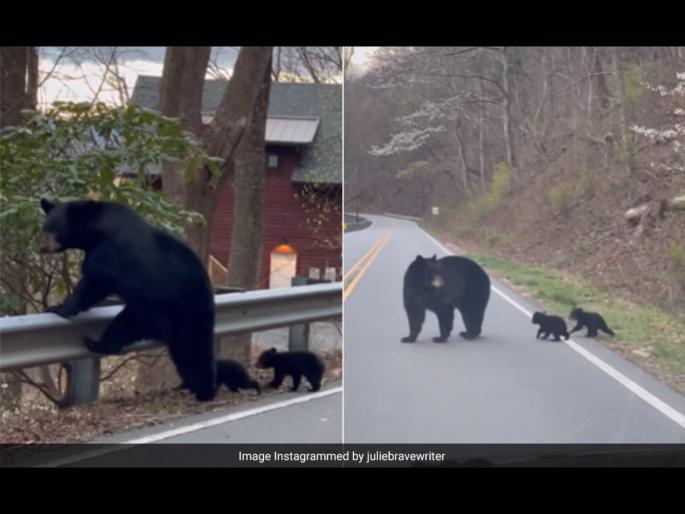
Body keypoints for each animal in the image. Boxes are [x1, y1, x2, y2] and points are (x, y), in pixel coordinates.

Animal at [40, 198, 217, 402]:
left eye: (55, 229)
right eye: (44, 228)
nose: (43, 247)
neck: (93, 230)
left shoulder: (109, 252)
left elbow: (94, 282)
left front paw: (58, 308)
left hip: (184, 311)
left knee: (191, 349)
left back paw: (204, 389)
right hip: (144, 313)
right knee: (123, 327)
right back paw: (97, 343)